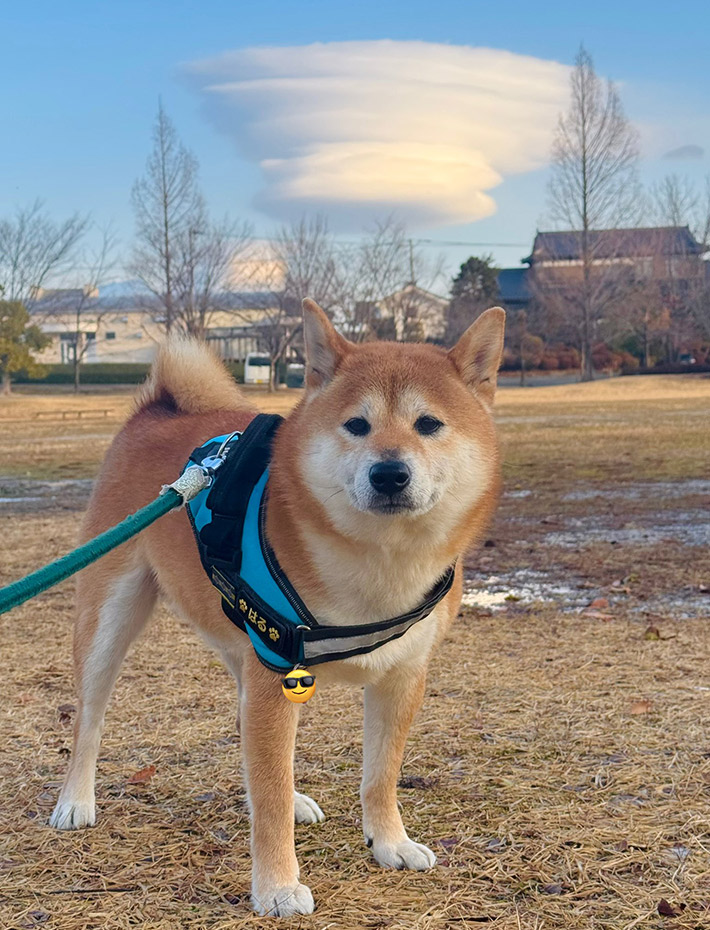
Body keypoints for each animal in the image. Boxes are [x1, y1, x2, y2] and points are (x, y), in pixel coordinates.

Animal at [50, 300, 506, 912]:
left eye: (428, 424)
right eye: (357, 425)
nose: (389, 473)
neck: (379, 563)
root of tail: (158, 409)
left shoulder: (401, 676)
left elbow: (379, 775)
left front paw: (389, 842)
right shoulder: (275, 677)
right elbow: (267, 799)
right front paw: (277, 885)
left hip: (240, 645)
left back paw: (296, 798)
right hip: (111, 618)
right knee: (90, 720)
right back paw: (75, 800)